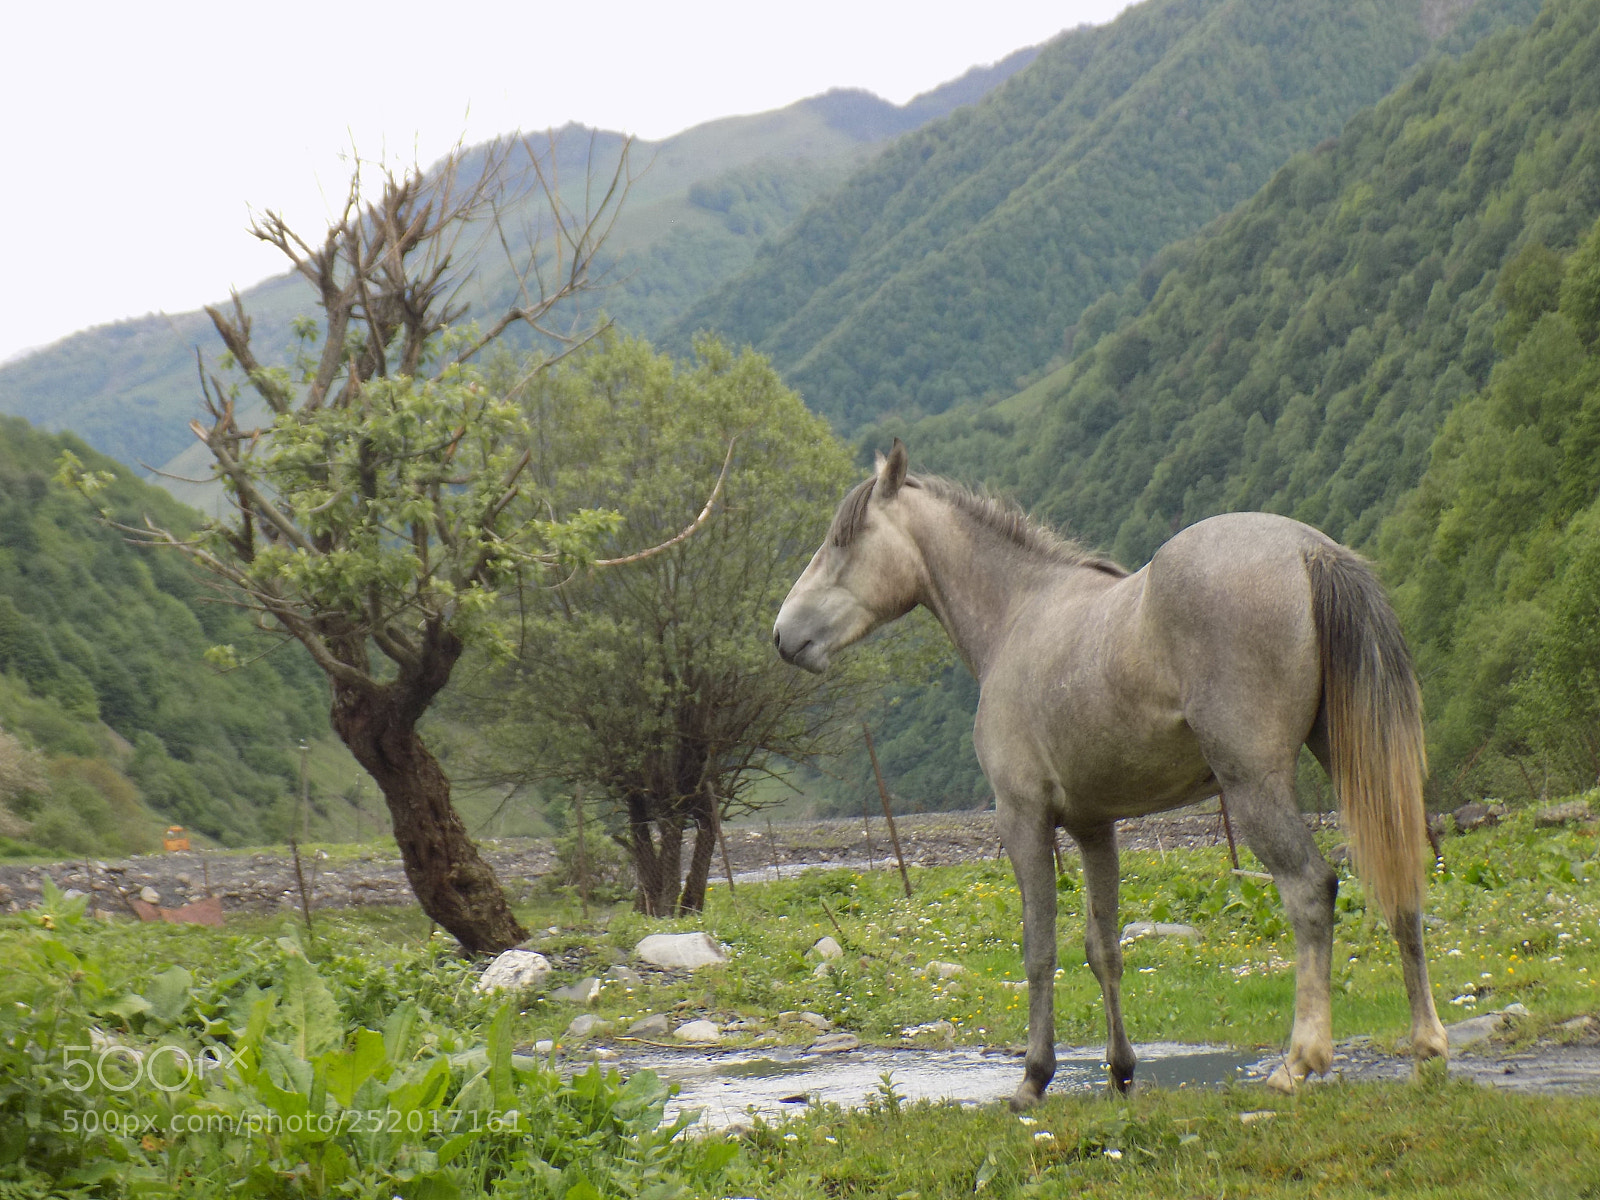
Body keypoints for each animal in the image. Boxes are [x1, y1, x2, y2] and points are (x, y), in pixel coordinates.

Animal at [774, 438, 1452, 1107]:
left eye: (842, 540)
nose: (783, 635)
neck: (1019, 615)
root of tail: (1310, 549)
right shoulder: (1094, 826)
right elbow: (1103, 949)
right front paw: (1121, 1071)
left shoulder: (1023, 819)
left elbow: (1039, 949)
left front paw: (1034, 1078)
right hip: (1355, 768)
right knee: (1401, 887)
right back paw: (1426, 1049)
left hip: (1254, 787)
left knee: (1311, 889)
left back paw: (1299, 1062)